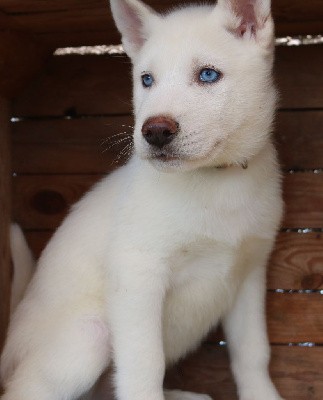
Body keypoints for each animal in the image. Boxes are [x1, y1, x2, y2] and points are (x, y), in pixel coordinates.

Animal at [1, 0, 286, 400]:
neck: (215, 181)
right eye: (146, 80)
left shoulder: (249, 273)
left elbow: (253, 352)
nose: (155, 132)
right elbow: (144, 365)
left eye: (208, 75)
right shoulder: (137, 274)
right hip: (89, 336)